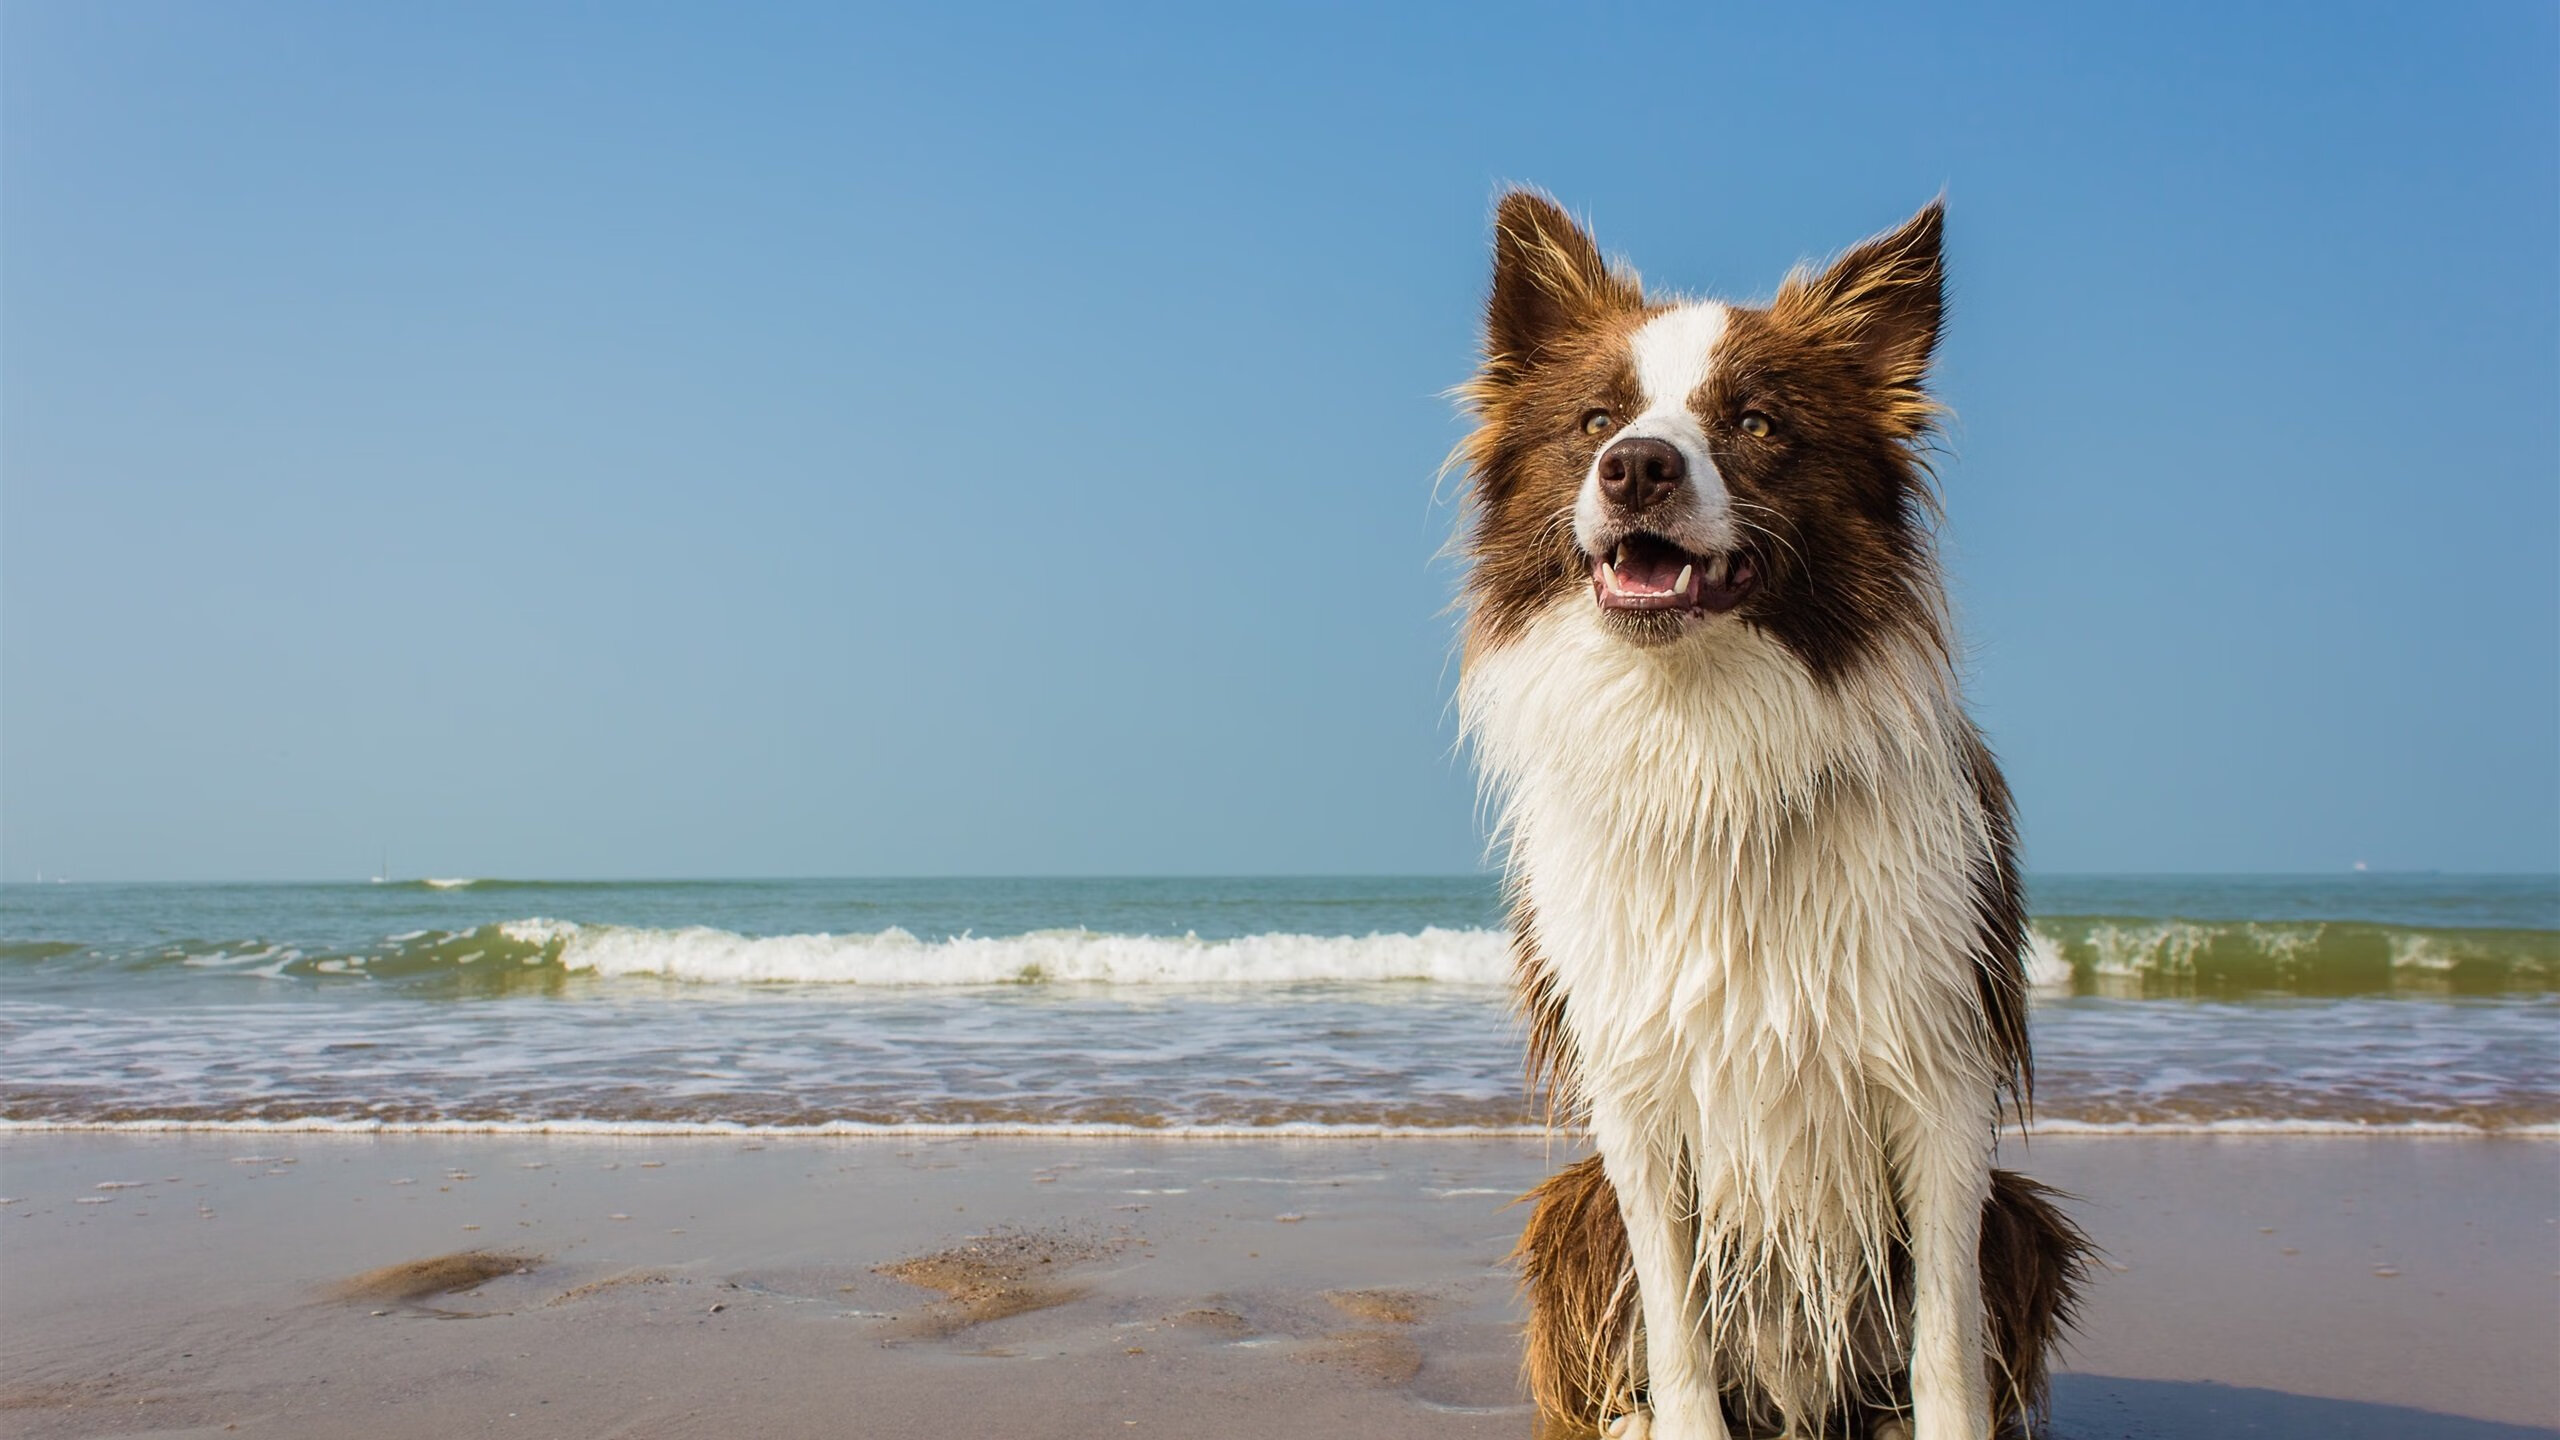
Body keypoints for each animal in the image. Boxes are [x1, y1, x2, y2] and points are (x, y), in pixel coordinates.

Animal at [1454, 193, 2088, 1434]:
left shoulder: (1938, 1074)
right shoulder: (1635, 1097)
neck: (1708, 738)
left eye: (1754, 422)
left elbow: (1947, 1348)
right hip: (1568, 1210)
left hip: (2024, 1221)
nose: (1635, 466)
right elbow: (1677, 1333)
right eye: (1595, 418)